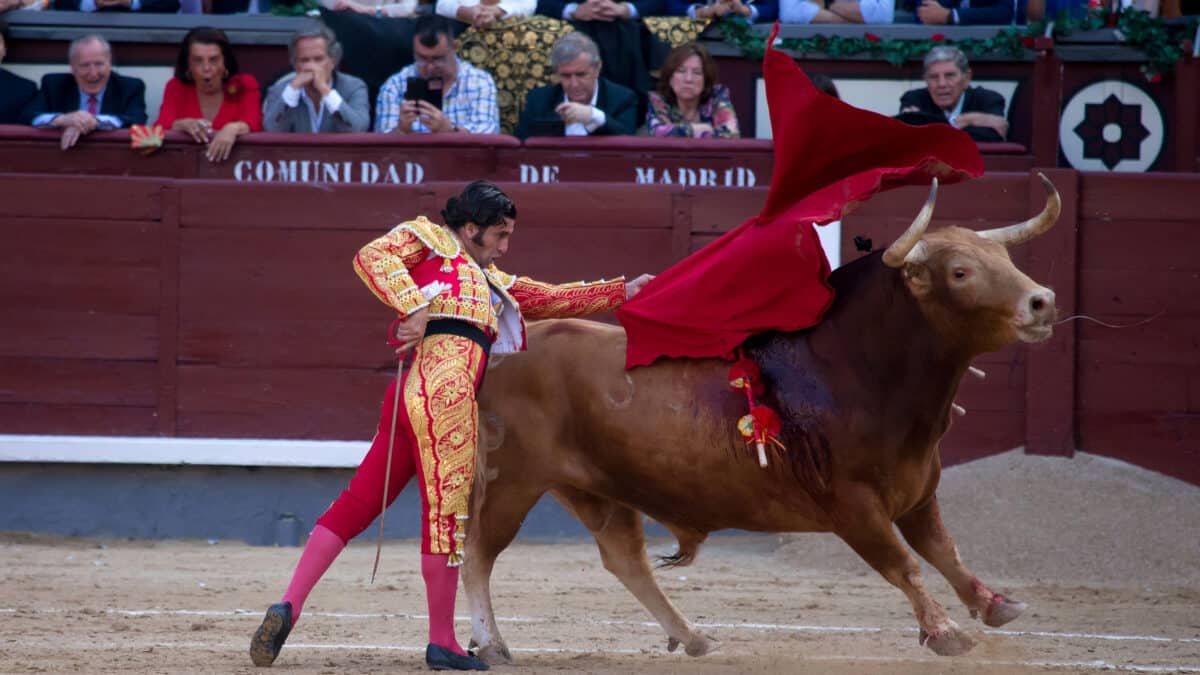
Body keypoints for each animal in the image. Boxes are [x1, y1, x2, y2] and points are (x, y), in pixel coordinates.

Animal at [463, 172, 1065, 658]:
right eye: (960, 272)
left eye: (1006, 261)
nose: (1042, 301)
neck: (848, 369)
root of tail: (505, 349)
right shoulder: (854, 507)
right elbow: (905, 563)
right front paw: (945, 632)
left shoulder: (919, 493)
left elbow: (944, 550)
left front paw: (994, 604)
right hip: (512, 480)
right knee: (477, 554)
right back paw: (491, 645)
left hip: (598, 487)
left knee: (624, 557)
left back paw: (693, 636)